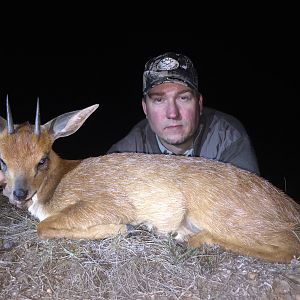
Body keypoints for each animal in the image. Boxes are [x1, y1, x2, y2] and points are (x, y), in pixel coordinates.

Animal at [0, 99, 300, 262]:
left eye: (42, 159)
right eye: (2, 161)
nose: (19, 193)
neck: (58, 182)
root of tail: (292, 210)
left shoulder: (106, 202)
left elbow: (44, 227)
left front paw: (119, 228)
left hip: (227, 215)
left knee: (288, 247)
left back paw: (190, 238)